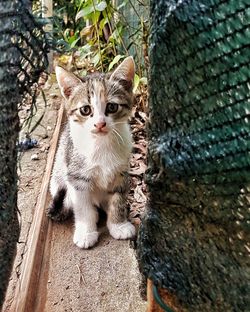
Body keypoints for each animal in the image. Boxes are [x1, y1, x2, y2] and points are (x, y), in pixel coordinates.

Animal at [47, 56, 136, 249]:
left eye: (112, 107)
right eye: (85, 110)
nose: (100, 124)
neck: (101, 144)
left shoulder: (121, 173)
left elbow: (118, 199)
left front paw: (119, 224)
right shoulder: (77, 178)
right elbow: (83, 207)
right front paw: (86, 232)